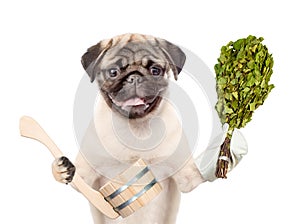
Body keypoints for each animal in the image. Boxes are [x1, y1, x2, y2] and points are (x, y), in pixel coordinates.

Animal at [52, 33, 248, 224]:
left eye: (155, 70)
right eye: (113, 72)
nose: (134, 77)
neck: (136, 130)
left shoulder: (185, 178)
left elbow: (197, 173)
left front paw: (226, 151)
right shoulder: (88, 174)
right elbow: (79, 181)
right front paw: (62, 169)